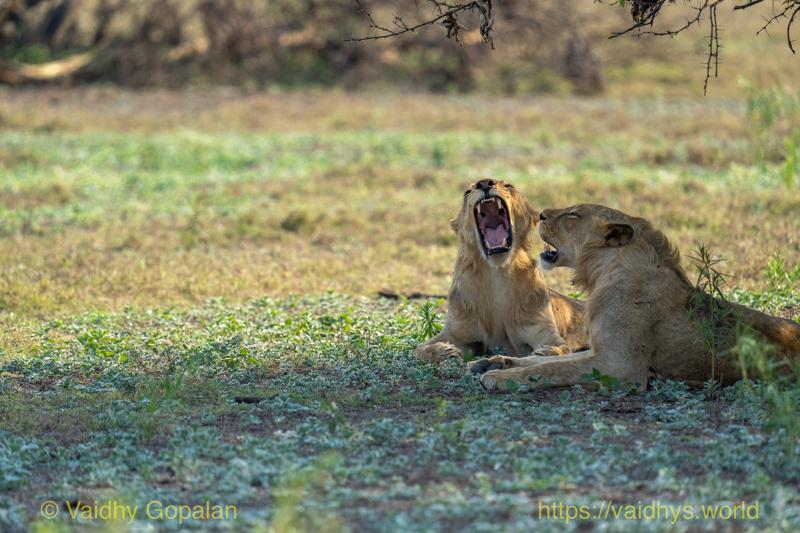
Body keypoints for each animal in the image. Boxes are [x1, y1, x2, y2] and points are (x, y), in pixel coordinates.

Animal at [414, 179, 588, 365]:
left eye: (509, 186)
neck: (496, 275)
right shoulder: (456, 331)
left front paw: (543, 353)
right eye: (467, 192)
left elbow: (562, 349)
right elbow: (419, 349)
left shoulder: (544, 331)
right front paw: (444, 351)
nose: (484, 183)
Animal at [473, 203, 800, 391]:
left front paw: (500, 378)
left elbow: (554, 369)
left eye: (574, 214)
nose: (539, 215)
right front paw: (494, 363)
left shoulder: (621, 365)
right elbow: (546, 360)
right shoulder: (602, 349)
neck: (602, 273)